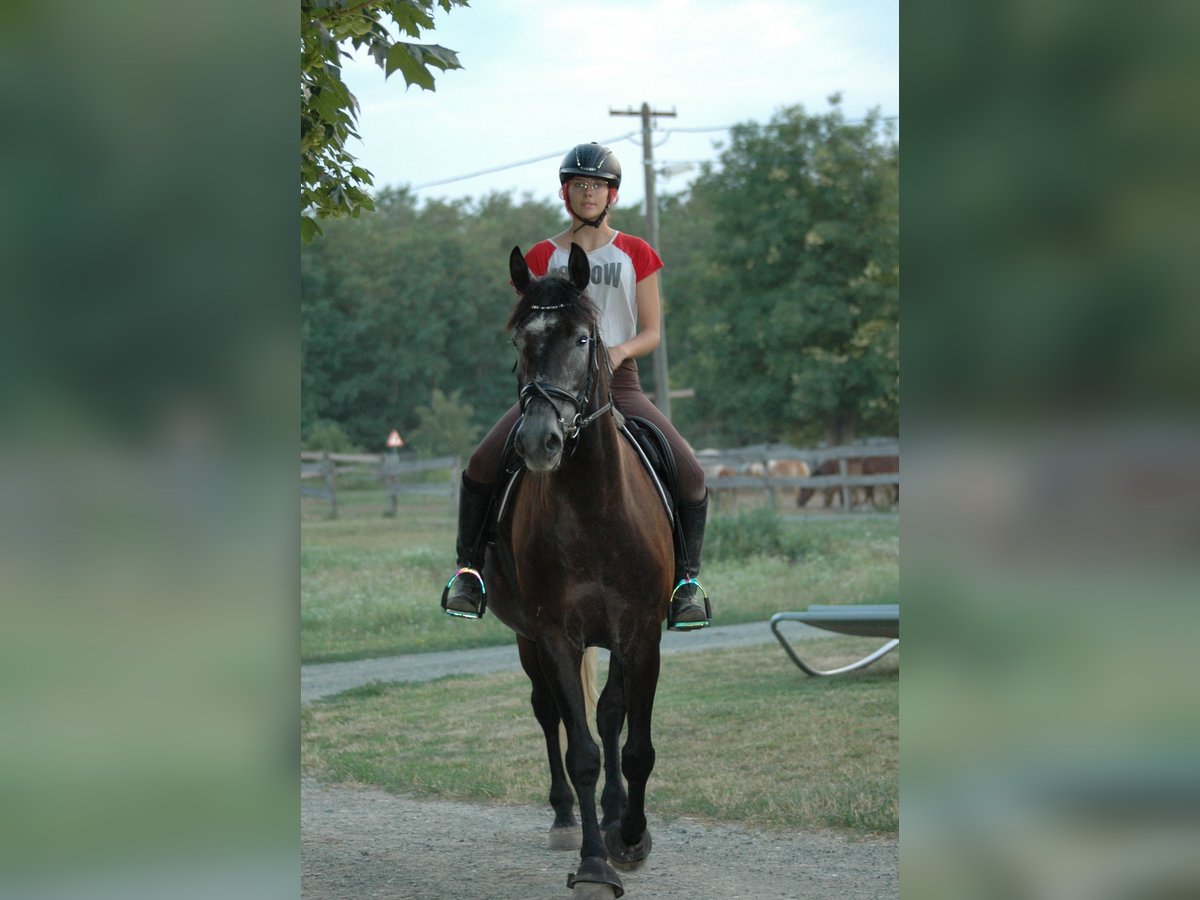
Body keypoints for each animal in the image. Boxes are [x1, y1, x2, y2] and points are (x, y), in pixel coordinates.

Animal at [482, 243, 681, 897]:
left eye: (583, 339)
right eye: (519, 340)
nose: (539, 441)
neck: (593, 506)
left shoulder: (641, 632)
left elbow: (633, 743)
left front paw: (631, 838)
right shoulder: (554, 635)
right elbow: (583, 752)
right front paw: (595, 864)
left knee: (611, 715)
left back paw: (618, 816)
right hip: (527, 638)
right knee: (551, 715)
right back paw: (567, 819)